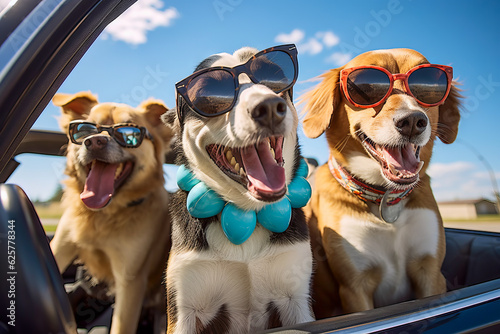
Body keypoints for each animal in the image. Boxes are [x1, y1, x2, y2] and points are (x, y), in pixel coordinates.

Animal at [49, 91, 174, 334]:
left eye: (128, 134)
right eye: (86, 130)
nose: (95, 142)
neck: (103, 214)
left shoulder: (130, 281)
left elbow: (120, 326)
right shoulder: (59, 248)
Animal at [162, 45, 314, 334]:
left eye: (274, 77)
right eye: (209, 94)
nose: (269, 107)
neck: (248, 211)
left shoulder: (296, 299)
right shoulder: (185, 308)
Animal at [300, 48, 460, 318]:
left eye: (427, 86)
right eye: (366, 87)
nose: (412, 121)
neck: (386, 198)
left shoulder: (430, 273)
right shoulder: (355, 287)